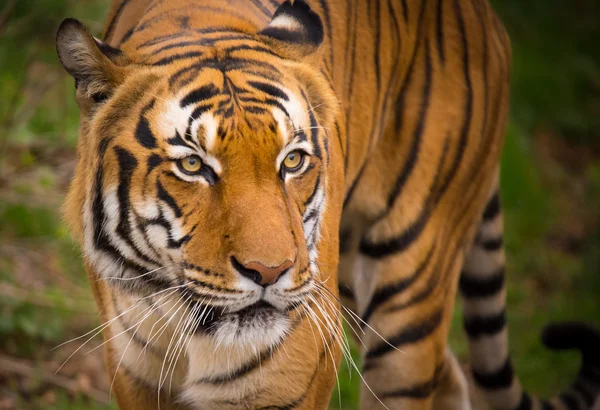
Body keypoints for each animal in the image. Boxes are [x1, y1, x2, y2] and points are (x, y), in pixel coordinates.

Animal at [54, 0, 596, 408]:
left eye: (292, 161)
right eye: (193, 166)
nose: (269, 272)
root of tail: (482, 13)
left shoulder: (287, 372)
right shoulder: (134, 372)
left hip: (408, 290)